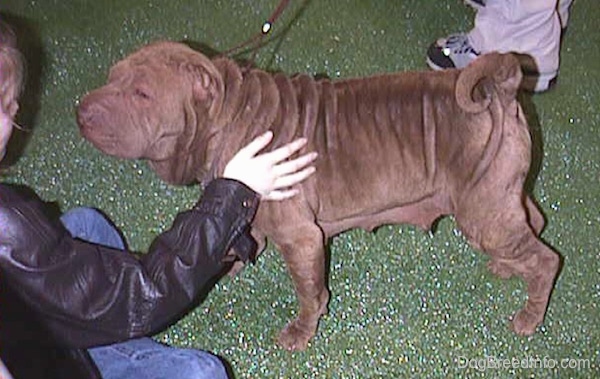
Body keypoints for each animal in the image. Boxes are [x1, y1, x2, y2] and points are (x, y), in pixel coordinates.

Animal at [77, 40, 560, 350]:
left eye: (142, 93)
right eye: (111, 77)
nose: (82, 109)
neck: (227, 116)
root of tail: (498, 89)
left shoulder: (302, 237)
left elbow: (310, 292)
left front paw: (301, 332)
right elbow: (236, 235)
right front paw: (221, 262)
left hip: (482, 212)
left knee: (546, 259)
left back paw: (530, 316)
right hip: (498, 196)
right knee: (534, 221)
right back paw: (508, 266)